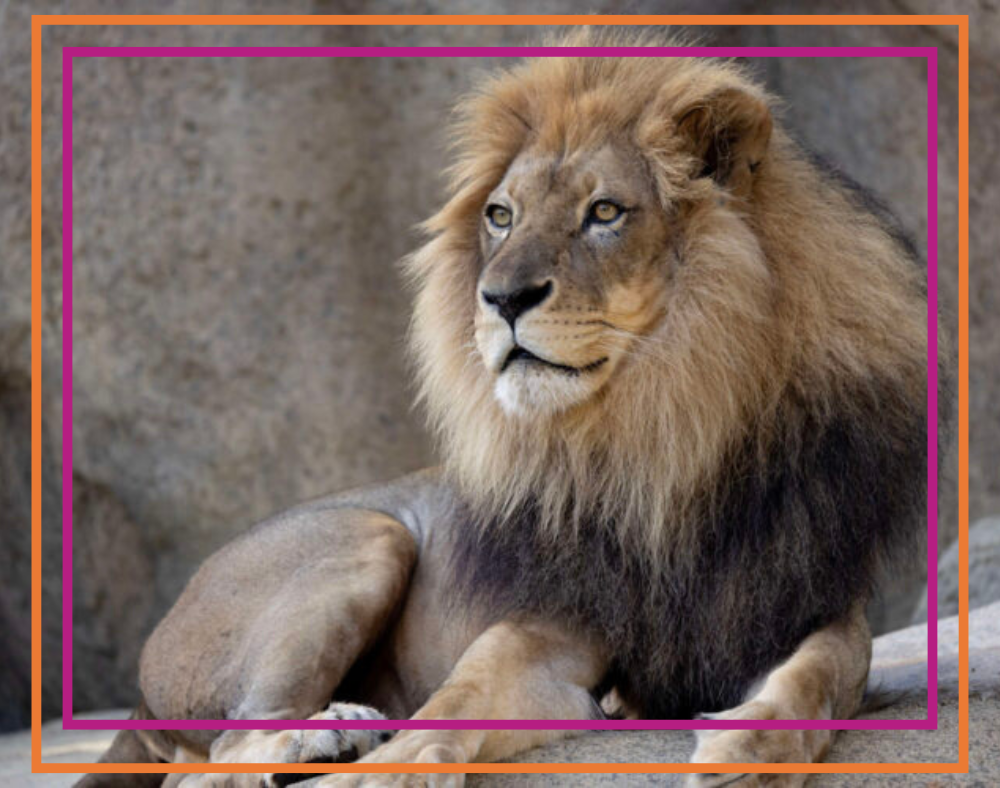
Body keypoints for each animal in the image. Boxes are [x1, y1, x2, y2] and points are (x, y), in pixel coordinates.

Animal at [80, 34, 937, 788]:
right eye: (501, 216)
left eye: (604, 212)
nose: (500, 298)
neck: (662, 437)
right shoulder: (540, 628)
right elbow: (458, 698)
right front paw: (385, 771)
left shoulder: (809, 604)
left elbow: (820, 677)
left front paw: (749, 755)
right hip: (370, 536)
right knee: (218, 756)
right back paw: (332, 734)